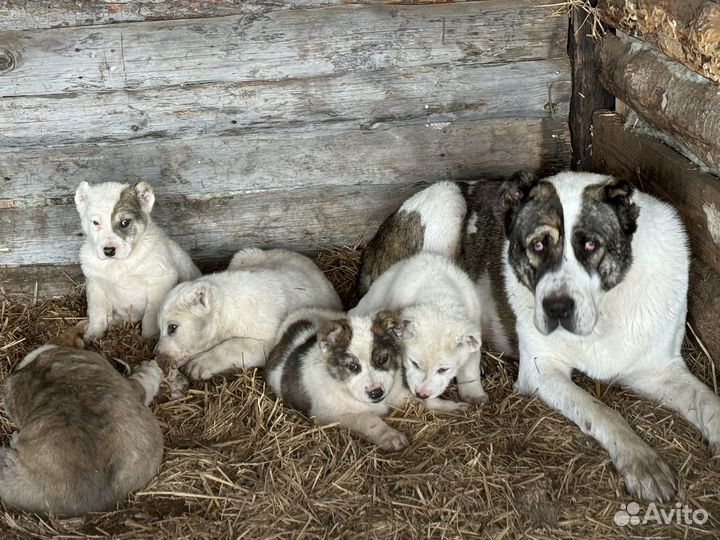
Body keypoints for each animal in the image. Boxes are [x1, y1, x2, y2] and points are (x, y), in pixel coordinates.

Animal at [75, 181, 201, 338]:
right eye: (95, 222)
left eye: (125, 222)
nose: (109, 251)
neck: (119, 263)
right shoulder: (95, 283)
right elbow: (97, 312)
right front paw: (93, 334)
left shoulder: (160, 281)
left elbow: (150, 317)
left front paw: (149, 338)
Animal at [156, 248, 342, 380]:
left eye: (172, 327)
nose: (158, 354)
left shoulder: (268, 325)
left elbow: (247, 346)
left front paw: (197, 366)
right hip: (245, 255)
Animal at [462, 172, 720, 502]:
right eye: (538, 245)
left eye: (589, 244)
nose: (557, 307)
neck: (604, 312)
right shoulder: (541, 370)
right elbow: (601, 411)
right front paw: (641, 460)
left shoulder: (659, 370)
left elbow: (708, 400)